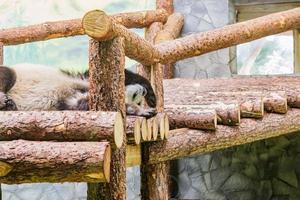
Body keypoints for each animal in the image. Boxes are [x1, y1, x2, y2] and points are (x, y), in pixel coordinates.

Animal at [0, 64, 156, 117]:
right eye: (136, 97)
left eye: (139, 100)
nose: (142, 92)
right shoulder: (87, 80)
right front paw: (144, 107)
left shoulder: (71, 101)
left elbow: (82, 104)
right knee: (9, 74)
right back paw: (4, 100)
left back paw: (9, 106)